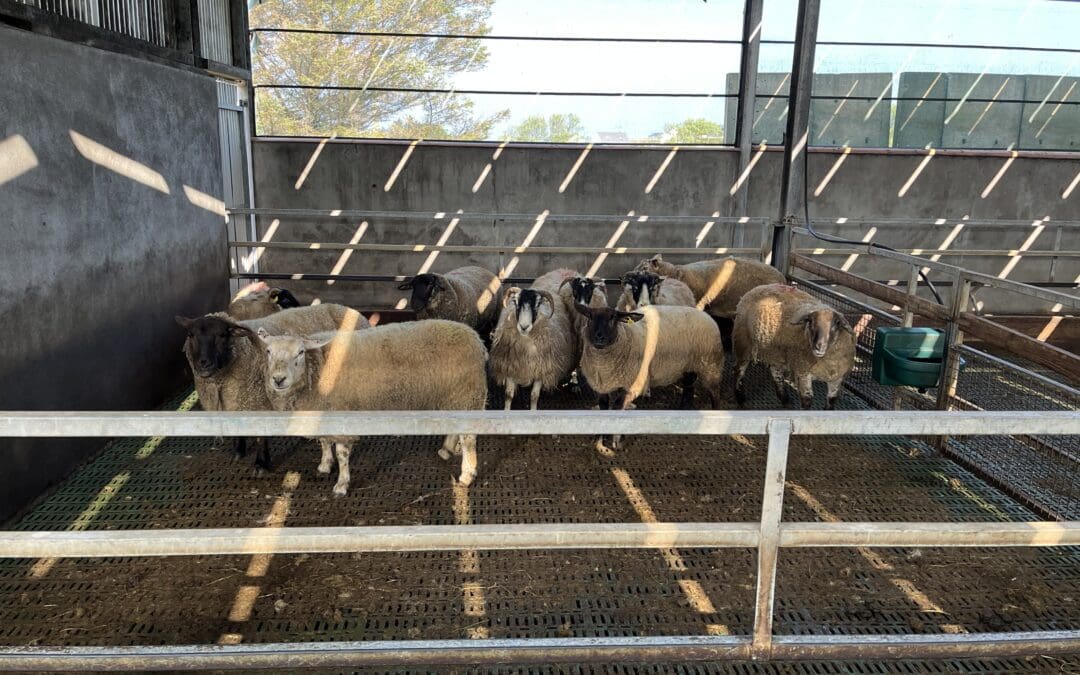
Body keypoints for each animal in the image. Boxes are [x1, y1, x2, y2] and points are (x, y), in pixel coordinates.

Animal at [175, 304, 370, 469]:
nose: (203, 364)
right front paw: (238, 451)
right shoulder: (235, 404)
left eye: (222, 335)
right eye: (190, 335)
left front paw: (261, 464)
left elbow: (262, 437)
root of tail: (351, 309)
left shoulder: (262, 403)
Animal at [257, 320, 488, 496]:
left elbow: (342, 454)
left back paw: (467, 475)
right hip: (454, 398)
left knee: (468, 439)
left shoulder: (343, 416)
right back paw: (446, 450)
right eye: (268, 351)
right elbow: (324, 441)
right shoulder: (323, 411)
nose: (278, 379)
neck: (318, 368)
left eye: (301, 352)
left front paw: (341, 484)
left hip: (467, 394)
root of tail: (476, 339)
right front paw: (324, 465)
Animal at [489, 269, 580, 410]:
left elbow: (534, 396)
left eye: (537, 304)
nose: (524, 327)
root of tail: (563, 270)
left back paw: (575, 383)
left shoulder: (541, 369)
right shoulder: (510, 366)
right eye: (515, 302)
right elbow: (509, 395)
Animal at [574, 303, 725, 451]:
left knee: (715, 392)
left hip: (710, 365)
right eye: (590, 317)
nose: (599, 337)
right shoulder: (601, 386)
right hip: (689, 366)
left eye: (613, 318)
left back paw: (716, 418)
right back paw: (683, 410)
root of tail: (706, 315)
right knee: (689, 386)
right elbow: (603, 408)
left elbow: (618, 407)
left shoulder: (633, 385)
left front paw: (618, 440)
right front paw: (599, 437)